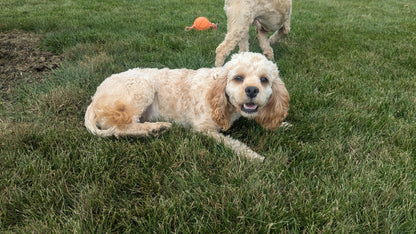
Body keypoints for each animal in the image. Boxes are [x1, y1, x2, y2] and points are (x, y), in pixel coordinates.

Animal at [83, 52, 288, 161]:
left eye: (264, 80)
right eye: (238, 78)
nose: (252, 90)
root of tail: (94, 99)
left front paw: (283, 125)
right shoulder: (204, 129)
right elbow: (233, 143)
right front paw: (253, 156)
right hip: (142, 86)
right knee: (120, 128)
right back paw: (154, 128)